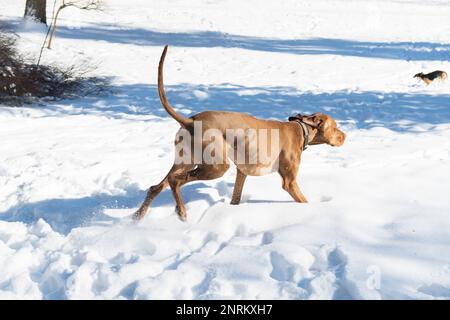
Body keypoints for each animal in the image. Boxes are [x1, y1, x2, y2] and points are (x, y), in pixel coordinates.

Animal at [132, 45, 346, 222]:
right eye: (336, 127)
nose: (345, 136)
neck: (300, 129)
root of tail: (190, 121)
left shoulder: (242, 172)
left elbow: (236, 197)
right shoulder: (289, 182)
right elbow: (303, 200)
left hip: (185, 161)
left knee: (157, 186)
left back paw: (138, 216)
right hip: (216, 165)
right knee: (175, 181)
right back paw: (181, 212)